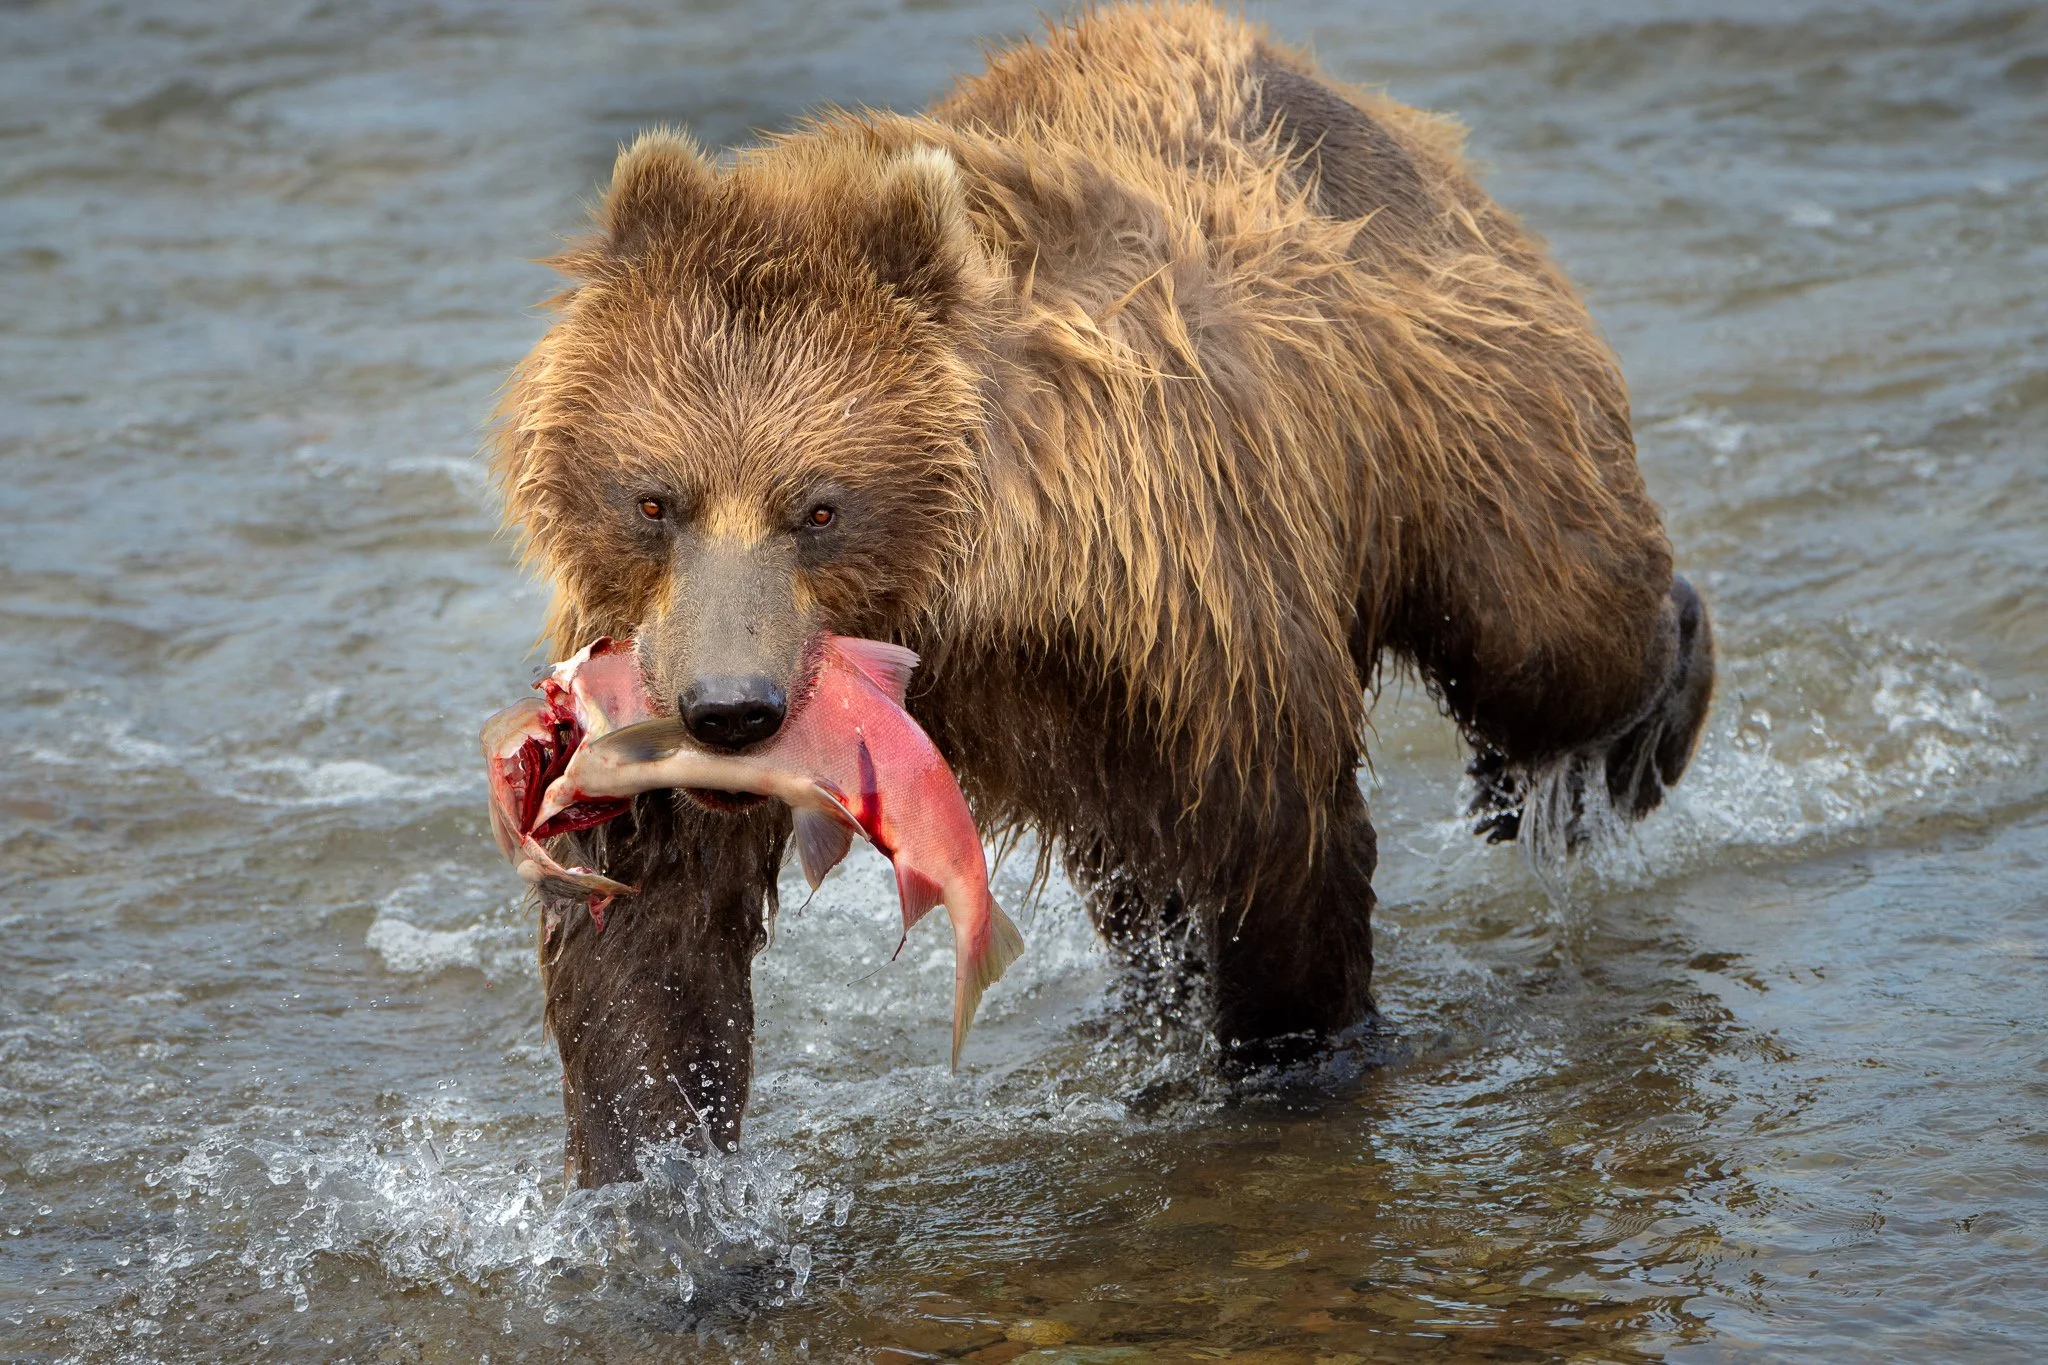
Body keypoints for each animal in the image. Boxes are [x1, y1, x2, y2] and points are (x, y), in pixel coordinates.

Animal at [491, 1, 1714, 1186]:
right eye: (655, 499)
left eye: (821, 508)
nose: (729, 709)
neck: (969, 597)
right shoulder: (653, 665)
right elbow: (652, 928)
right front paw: (662, 1190)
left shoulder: (1189, 604)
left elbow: (1277, 837)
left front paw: (1289, 1061)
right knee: (1137, 869)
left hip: (1454, 393)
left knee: (1548, 634)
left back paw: (1619, 736)